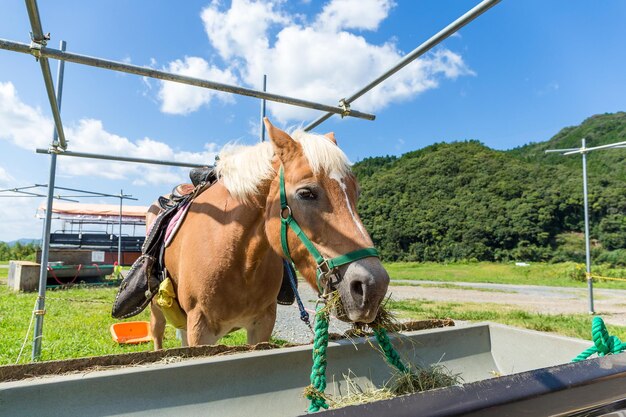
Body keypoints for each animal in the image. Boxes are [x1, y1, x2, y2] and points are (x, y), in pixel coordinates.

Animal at [148, 118, 388, 350]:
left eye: (356, 194)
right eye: (306, 193)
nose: (373, 288)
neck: (240, 261)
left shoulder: (262, 325)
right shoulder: (200, 328)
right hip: (157, 311)